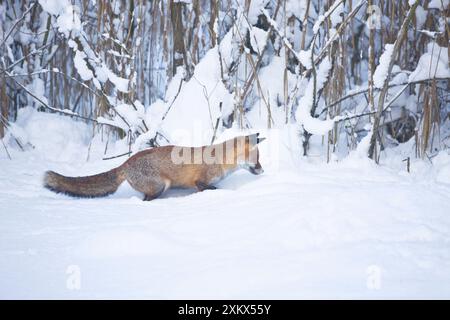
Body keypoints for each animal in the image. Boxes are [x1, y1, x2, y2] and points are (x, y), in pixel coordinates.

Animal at [44, 132, 266, 200]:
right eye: (256, 159)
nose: (263, 170)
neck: (220, 159)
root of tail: (125, 163)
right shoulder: (199, 181)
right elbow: (210, 188)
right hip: (161, 186)